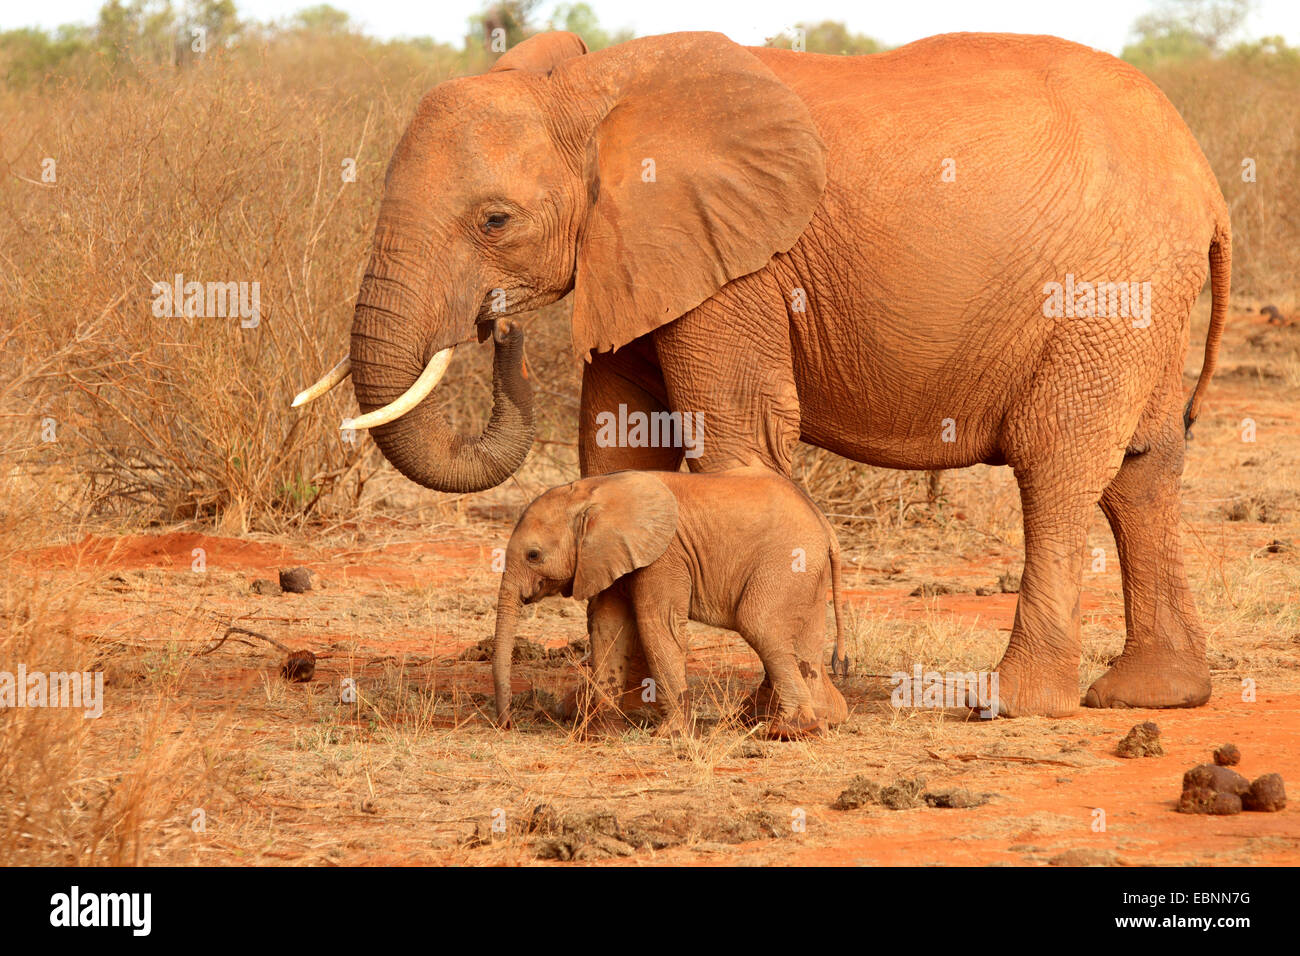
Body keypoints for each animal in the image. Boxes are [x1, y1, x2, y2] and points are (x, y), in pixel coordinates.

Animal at [491, 468, 847, 738]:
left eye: (533, 555)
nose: (507, 725)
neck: (594, 491)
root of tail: (825, 524)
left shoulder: (663, 555)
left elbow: (657, 623)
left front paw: (669, 734)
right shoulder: (610, 555)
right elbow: (608, 626)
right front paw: (600, 734)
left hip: (786, 561)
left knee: (757, 622)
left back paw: (791, 730)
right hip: (807, 573)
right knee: (806, 640)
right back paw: (824, 720)